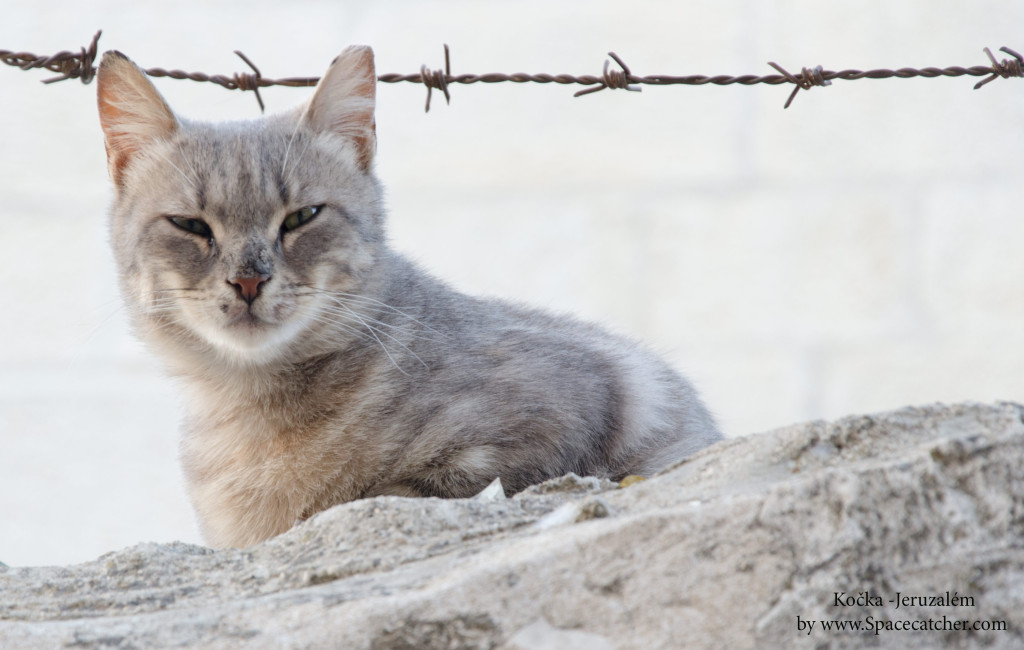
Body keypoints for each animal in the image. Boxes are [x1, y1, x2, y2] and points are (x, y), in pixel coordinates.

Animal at [96, 43, 720, 548]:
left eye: (301, 217)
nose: (248, 281)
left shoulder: (554, 425)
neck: (249, 404)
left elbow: (386, 493)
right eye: (190, 225)